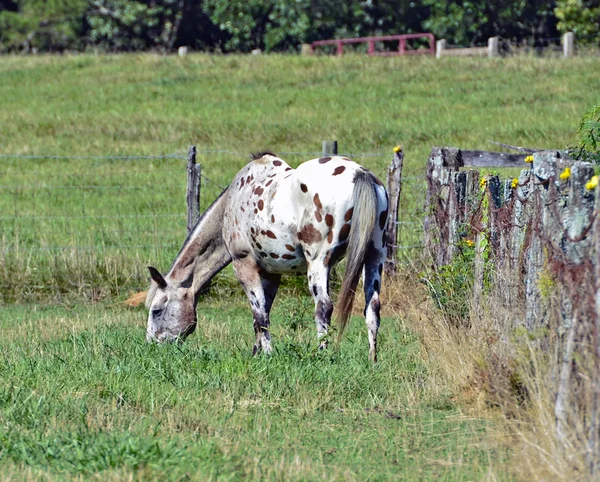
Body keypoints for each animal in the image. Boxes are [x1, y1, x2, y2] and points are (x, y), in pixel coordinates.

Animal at [145, 152, 390, 362]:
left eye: (156, 311)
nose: (151, 345)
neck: (234, 200)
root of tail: (360, 174)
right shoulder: (271, 274)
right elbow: (262, 315)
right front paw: (257, 353)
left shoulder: (244, 265)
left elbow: (260, 315)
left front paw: (268, 355)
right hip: (374, 256)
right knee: (372, 308)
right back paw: (373, 360)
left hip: (319, 263)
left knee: (323, 307)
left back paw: (321, 355)